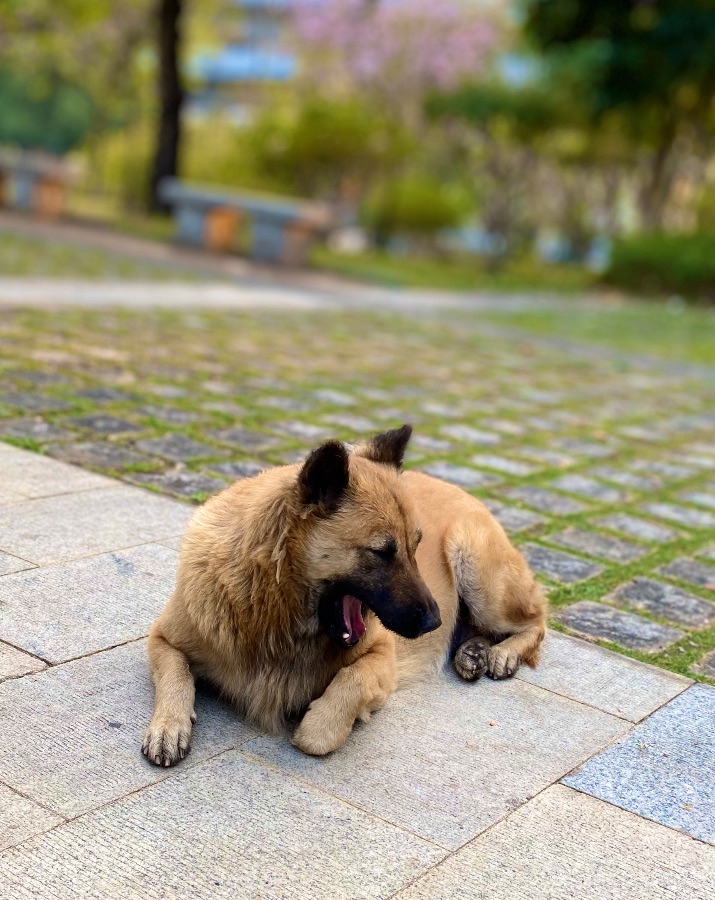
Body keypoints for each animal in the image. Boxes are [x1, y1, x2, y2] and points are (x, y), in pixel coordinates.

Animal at [142, 425, 546, 765]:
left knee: (537, 620)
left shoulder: (381, 658)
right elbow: (176, 677)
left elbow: (329, 717)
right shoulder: (162, 639)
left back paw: (501, 653)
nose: (436, 622)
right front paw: (169, 726)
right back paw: (473, 651)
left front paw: (316, 722)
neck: (273, 607)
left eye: (416, 546)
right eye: (383, 552)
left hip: (478, 572)